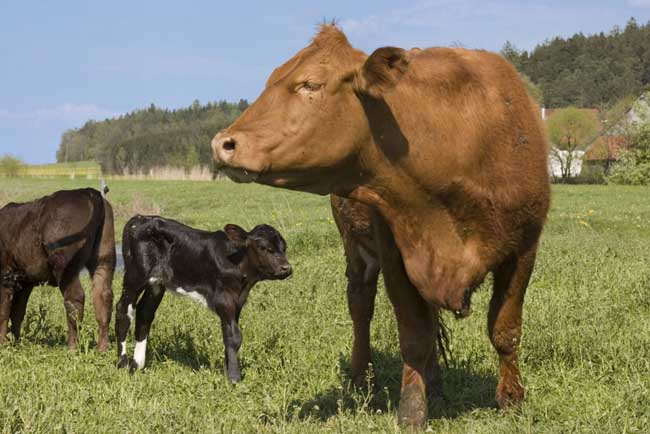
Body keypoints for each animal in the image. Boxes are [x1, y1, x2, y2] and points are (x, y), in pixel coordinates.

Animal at [0, 188, 115, 350]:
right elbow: (17, 313)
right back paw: (102, 348)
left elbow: (4, 311)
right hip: (104, 259)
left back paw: (72, 347)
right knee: (103, 296)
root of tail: (87, 191)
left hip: (64, 264)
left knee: (75, 298)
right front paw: (15, 343)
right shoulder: (25, 281)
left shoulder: (6, 275)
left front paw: (3, 343)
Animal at [114, 215, 292, 382]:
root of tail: (140, 218)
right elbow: (234, 336)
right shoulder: (223, 298)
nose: (286, 268)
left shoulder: (237, 302)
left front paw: (228, 371)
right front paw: (234, 377)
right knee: (123, 310)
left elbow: (228, 334)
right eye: (263, 248)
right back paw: (123, 363)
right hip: (135, 275)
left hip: (156, 282)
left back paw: (137, 365)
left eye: (284, 248)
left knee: (145, 313)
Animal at [211, 24, 548, 428]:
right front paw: (412, 411)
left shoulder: (524, 247)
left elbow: (505, 329)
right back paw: (362, 377)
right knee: (361, 307)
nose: (223, 143)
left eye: (310, 84)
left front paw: (512, 398)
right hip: (356, 252)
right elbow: (414, 336)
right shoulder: (396, 254)